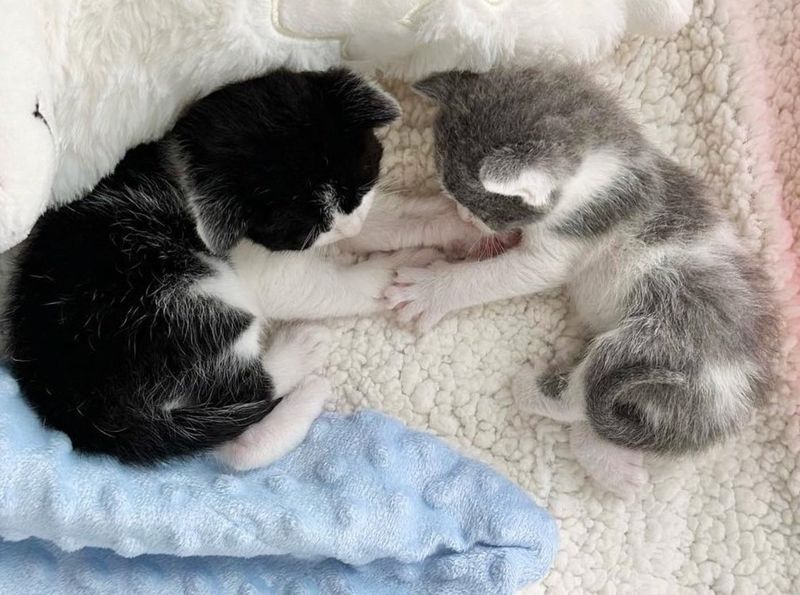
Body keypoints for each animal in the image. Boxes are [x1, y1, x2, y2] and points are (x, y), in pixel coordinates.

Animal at [6, 70, 422, 470]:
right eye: (307, 228)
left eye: (361, 183)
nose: (350, 227)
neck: (185, 169)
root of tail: (74, 408)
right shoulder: (249, 264)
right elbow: (310, 286)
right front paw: (391, 272)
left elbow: (383, 221)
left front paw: (428, 221)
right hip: (186, 302)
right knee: (246, 391)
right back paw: (304, 358)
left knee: (229, 444)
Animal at [384, 67, 780, 498]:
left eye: (480, 208)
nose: (463, 216)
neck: (601, 162)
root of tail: (729, 408)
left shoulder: (568, 241)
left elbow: (494, 275)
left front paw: (429, 291)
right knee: (595, 417)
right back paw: (612, 466)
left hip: (660, 340)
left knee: (581, 400)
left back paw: (532, 386)